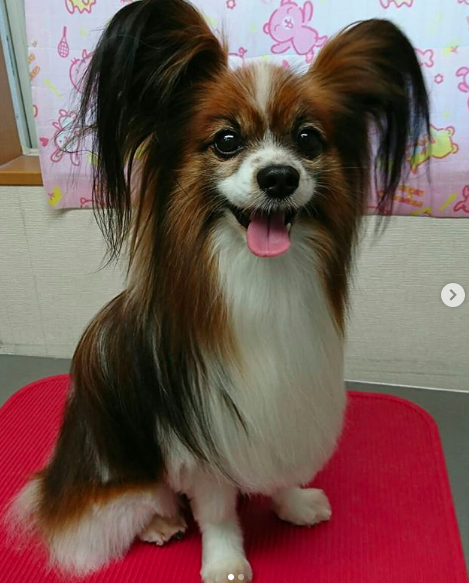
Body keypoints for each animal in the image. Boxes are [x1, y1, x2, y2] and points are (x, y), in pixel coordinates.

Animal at [8, 1, 429, 581]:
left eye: (308, 140)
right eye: (227, 141)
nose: (279, 177)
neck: (259, 276)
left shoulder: (280, 405)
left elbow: (279, 470)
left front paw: (294, 504)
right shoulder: (202, 437)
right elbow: (216, 511)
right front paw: (226, 561)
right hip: (118, 470)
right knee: (137, 504)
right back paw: (160, 522)